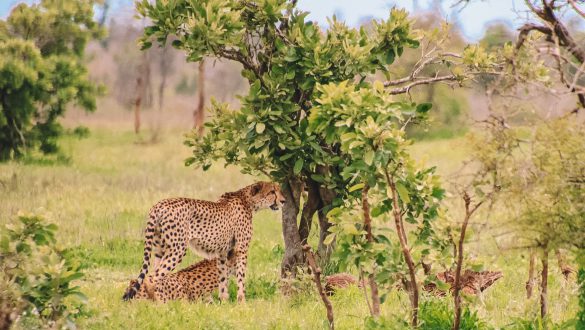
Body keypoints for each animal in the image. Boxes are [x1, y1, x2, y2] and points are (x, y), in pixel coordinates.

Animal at [122, 182, 286, 302]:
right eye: (272, 192)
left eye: (278, 190)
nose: (283, 201)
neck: (247, 200)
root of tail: (159, 205)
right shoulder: (241, 249)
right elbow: (241, 278)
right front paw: (242, 303)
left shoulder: (223, 253)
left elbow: (222, 278)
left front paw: (224, 302)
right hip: (178, 249)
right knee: (151, 278)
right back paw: (158, 303)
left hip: (159, 249)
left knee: (151, 275)